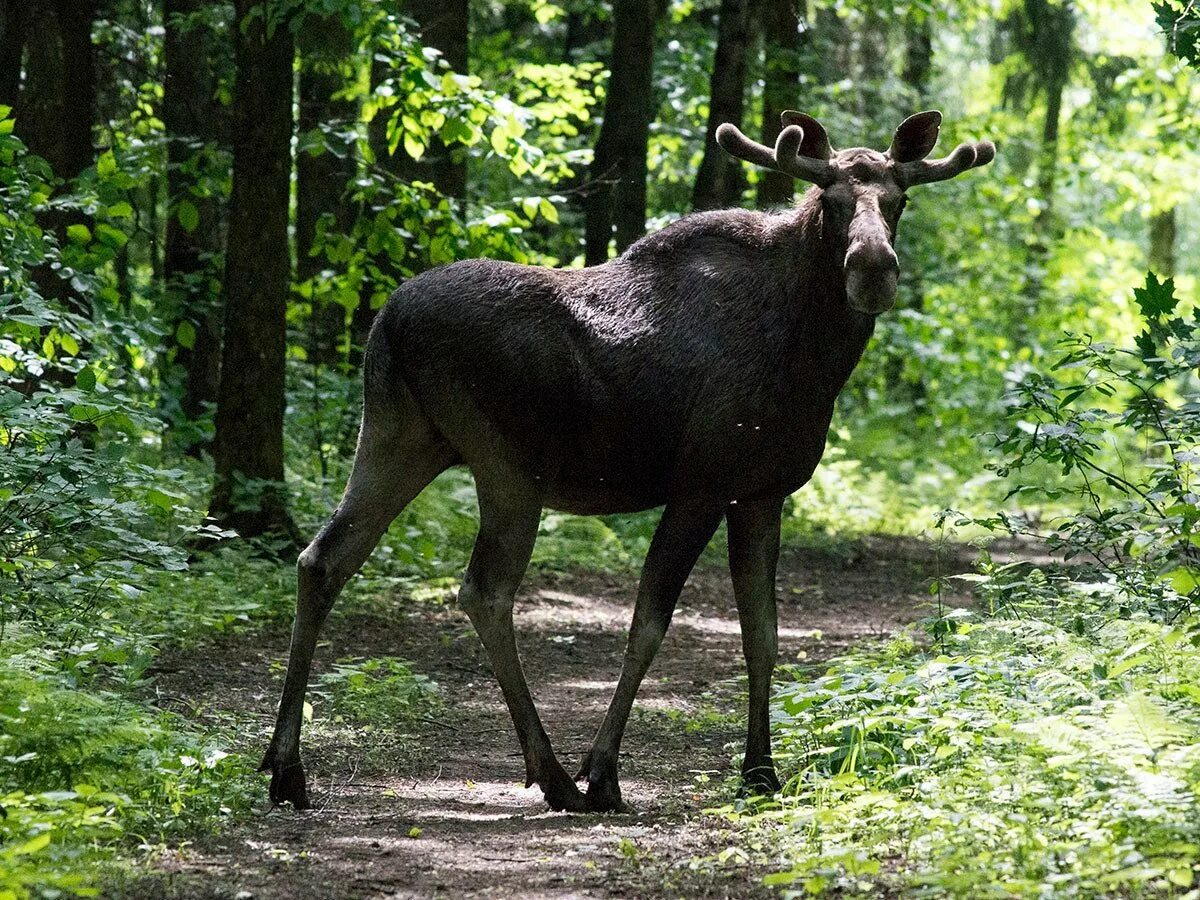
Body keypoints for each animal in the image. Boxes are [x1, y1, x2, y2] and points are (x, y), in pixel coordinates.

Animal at [262, 109, 993, 816]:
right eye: (832, 200)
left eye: (898, 200)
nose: (872, 267)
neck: (814, 358)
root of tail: (387, 321)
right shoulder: (702, 484)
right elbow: (649, 623)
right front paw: (604, 771)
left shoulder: (762, 493)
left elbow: (764, 633)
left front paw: (761, 770)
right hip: (508, 467)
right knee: (484, 591)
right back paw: (555, 776)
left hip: (399, 437)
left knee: (322, 559)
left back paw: (286, 767)